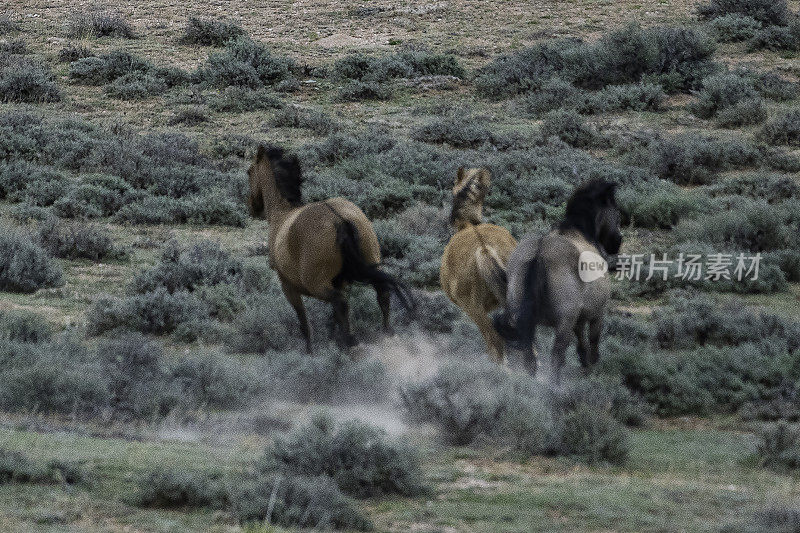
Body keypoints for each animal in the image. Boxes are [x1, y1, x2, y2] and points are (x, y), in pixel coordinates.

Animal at [247, 144, 416, 354]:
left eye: (249, 172)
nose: (252, 207)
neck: (283, 214)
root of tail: (339, 219)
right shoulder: (340, 281)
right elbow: (334, 318)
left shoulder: (288, 286)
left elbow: (304, 323)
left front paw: (310, 351)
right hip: (371, 265)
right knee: (382, 294)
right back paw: (386, 335)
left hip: (317, 285)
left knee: (341, 302)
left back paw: (351, 341)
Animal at [494, 179, 624, 382]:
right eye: (617, 211)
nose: (617, 241)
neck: (579, 231)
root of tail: (539, 253)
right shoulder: (596, 313)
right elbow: (593, 340)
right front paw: (592, 363)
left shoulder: (578, 318)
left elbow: (581, 340)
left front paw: (584, 360)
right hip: (564, 323)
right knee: (557, 355)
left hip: (523, 318)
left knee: (529, 357)